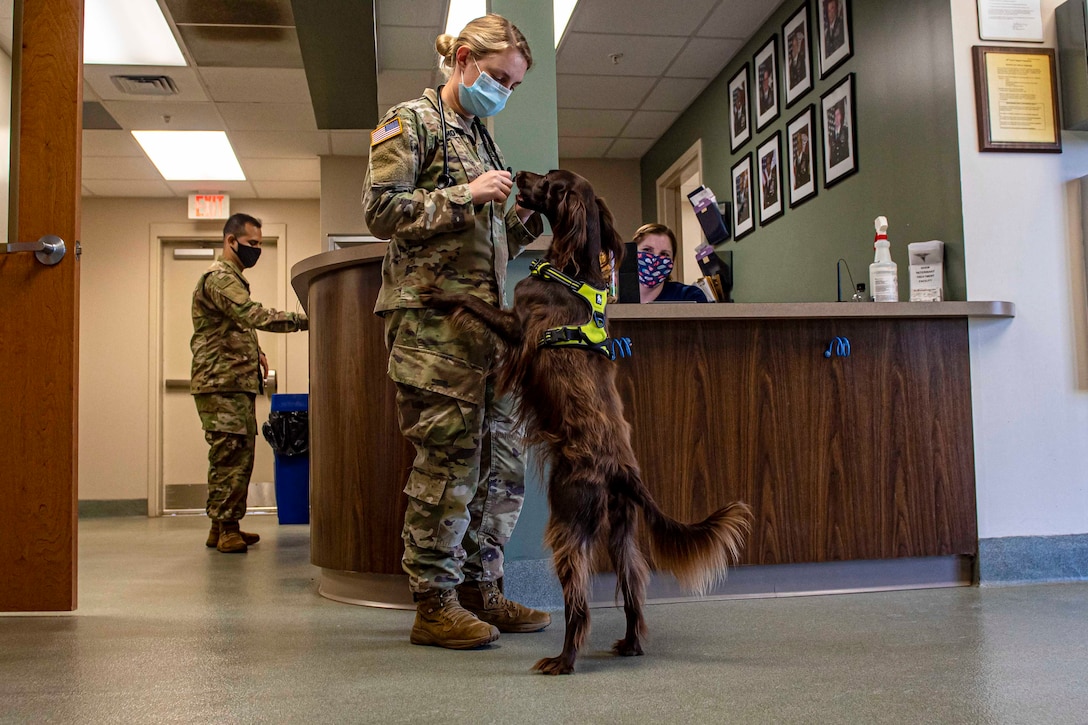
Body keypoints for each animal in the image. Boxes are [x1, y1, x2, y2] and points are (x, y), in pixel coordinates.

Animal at [419, 169, 752, 670]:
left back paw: (563, 660)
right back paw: (630, 645)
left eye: (549, 181)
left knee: (579, 602)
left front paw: (439, 293)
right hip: (622, 535)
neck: (574, 271)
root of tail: (622, 472)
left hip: (568, 520)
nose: (518, 175)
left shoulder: (516, 324)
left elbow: (476, 305)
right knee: (633, 590)